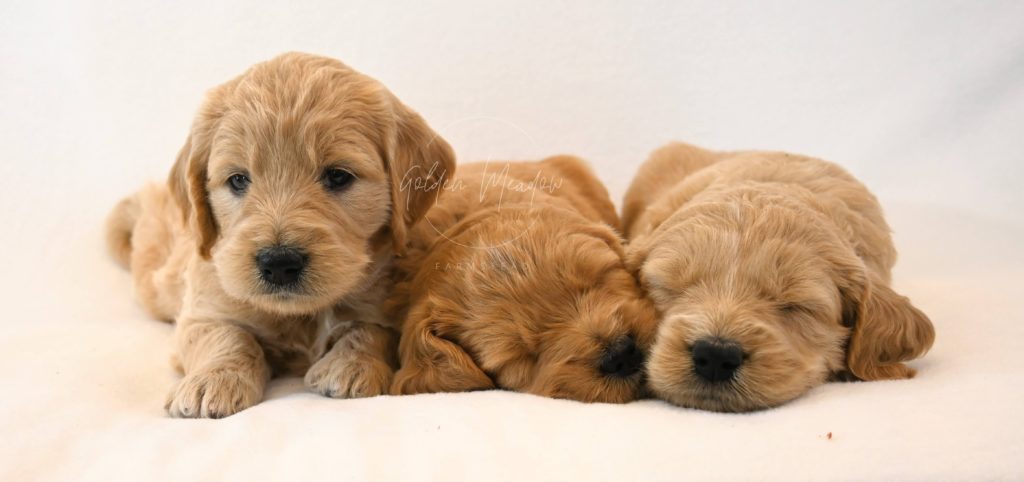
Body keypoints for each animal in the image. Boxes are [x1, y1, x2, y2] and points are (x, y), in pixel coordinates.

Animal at [105, 50, 454, 417]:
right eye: (238, 179)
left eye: (338, 176)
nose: (279, 263)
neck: (301, 316)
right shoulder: (203, 311)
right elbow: (226, 336)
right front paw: (213, 381)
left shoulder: (387, 302)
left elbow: (369, 329)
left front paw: (351, 365)